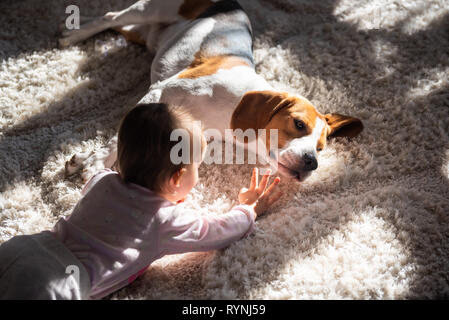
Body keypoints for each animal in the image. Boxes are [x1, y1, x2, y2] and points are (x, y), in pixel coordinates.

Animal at [60, 0, 360, 181]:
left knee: (116, 22)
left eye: (320, 148)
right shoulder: (159, 92)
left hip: (140, 32)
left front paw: (90, 159)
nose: (312, 162)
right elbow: (117, 139)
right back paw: (73, 35)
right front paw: (97, 161)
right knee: (110, 15)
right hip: (151, 9)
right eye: (298, 124)